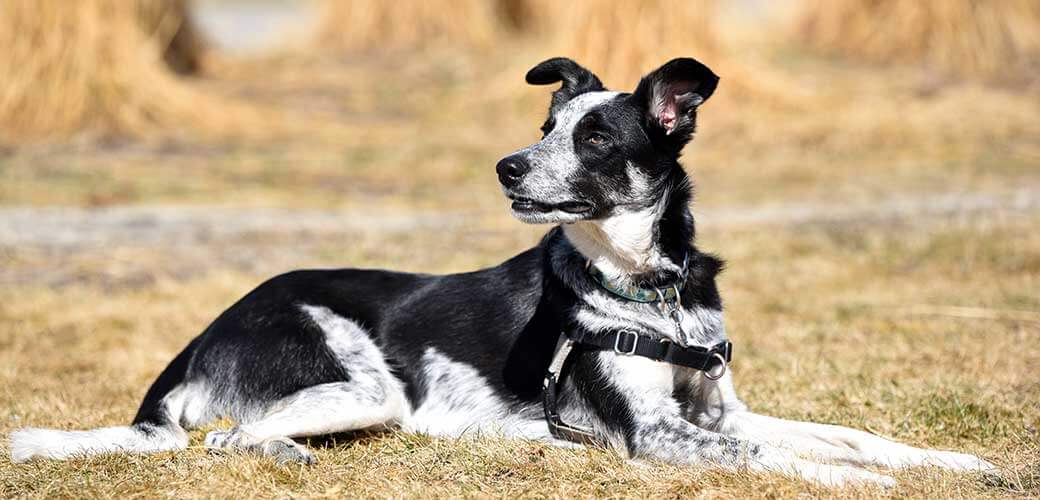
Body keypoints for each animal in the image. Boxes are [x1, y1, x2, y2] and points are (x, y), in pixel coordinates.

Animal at [10, 56, 998, 484]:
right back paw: (287, 451)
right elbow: (771, 455)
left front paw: (948, 460)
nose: (507, 167)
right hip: (362, 382)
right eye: (544, 126)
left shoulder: (720, 407)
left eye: (594, 138)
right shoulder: (659, 437)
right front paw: (867, 486)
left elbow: (845, 435)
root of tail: (197, 339)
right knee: (223, 440)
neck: (654, 294)